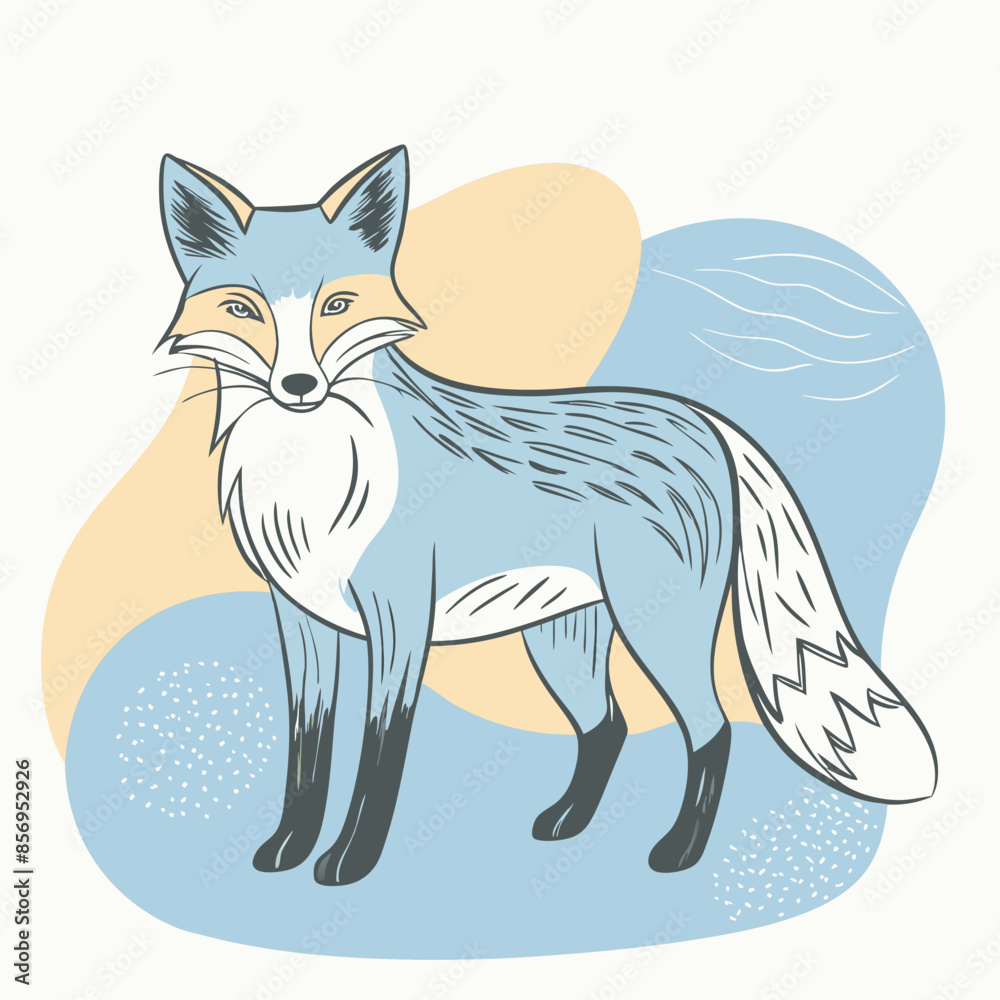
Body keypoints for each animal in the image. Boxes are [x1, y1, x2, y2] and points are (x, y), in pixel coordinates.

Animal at [157, 146, 937, 886]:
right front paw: (286, 850)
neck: (305, 480)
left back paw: (679, 852)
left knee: (711, 730)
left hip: (654, 630)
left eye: (337, 304)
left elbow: (379, 756)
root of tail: (703, 418)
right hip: (561, 641)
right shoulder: (302, 623)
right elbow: (306, 756)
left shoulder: (400, 621)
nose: (299, 385)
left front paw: (349, 862)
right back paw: (567, 823)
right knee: (608, 725)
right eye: (243, 310)